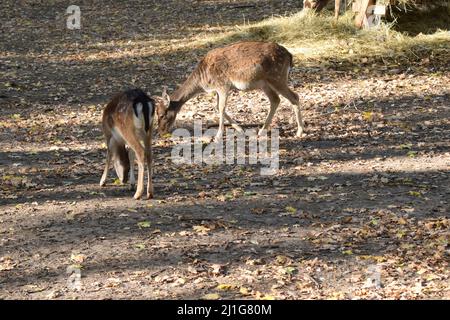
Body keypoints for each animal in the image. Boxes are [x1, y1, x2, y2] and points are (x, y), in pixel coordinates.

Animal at [156, 40, 306, 141]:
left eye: (162, 115)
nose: (160, 132)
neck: (203, 80)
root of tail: (289, 56)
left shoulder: (223, 85)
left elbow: (221, 107)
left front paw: (217, 136)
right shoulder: (218, 88)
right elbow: (217, 106)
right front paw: (241, 130)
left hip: (277, 77)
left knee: (294, 96)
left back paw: (299, 132)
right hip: (265, 83)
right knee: (275, 99)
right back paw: (261, 131)